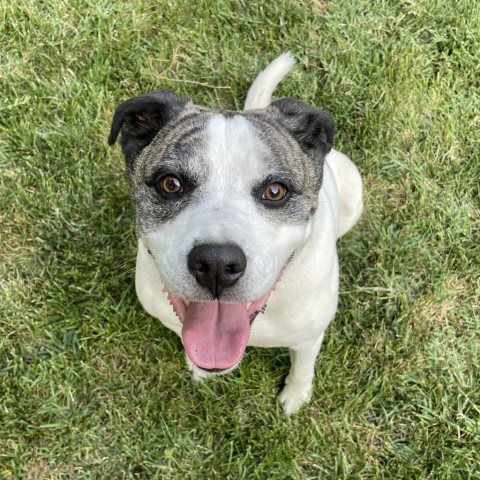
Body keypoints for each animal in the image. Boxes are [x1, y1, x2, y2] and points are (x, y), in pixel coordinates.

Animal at [109, 51, 364, 412]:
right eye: (170, 184)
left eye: (275, 191)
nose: (216, 264)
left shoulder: (308, 338)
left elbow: (302, 368)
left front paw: (296, 397)